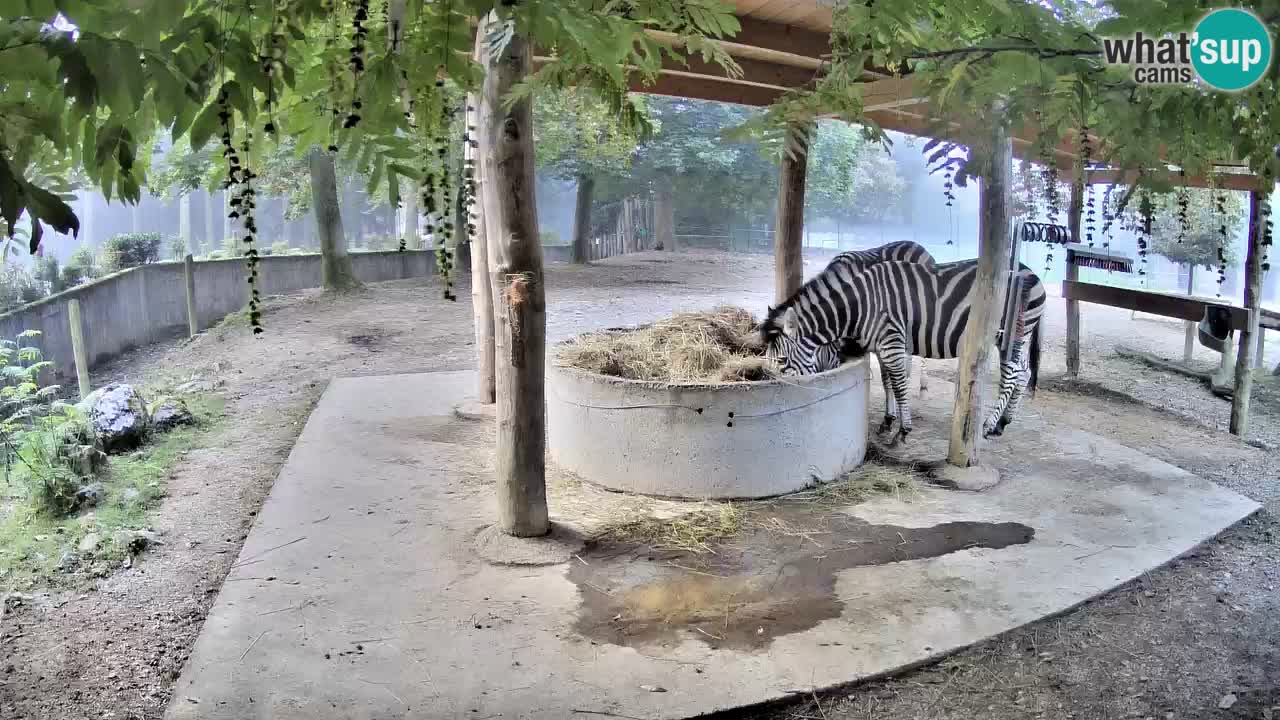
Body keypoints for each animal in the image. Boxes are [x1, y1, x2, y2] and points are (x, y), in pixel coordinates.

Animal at [752, 252, 1044, 443]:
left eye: (781, 361)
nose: (768, 394)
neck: (860, 306)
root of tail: (1031, 273)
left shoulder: (892, 341)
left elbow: (900, 384)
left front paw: (903, 430)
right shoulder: (884, 346)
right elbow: (889, 382)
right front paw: (889, 422)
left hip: (1009, 335)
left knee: (1013, 375)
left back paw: (989, 424)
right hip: (1019, 336)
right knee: (1024, 372)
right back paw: (1003, 423)